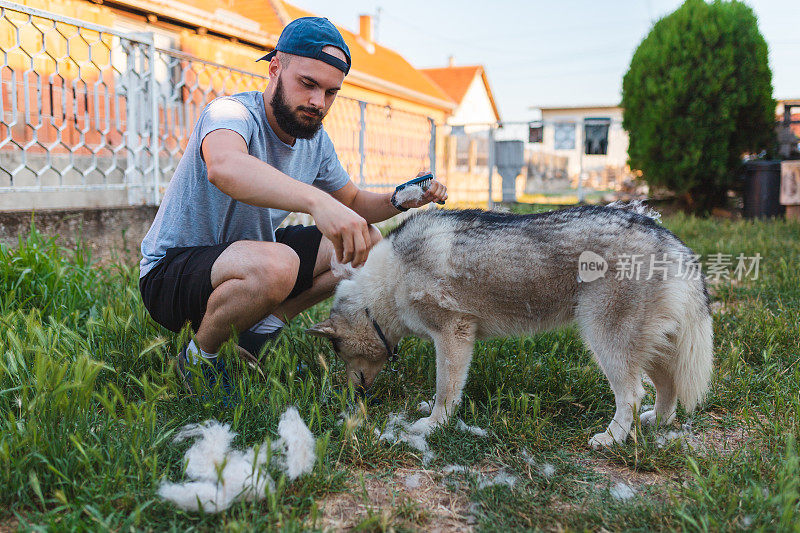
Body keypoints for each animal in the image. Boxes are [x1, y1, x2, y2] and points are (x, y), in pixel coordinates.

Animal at [308, 203, 712, 444]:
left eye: (338, 352)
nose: (353, 397)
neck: (384, 286)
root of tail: (662, 232)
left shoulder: (453, 335)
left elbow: (446, 389)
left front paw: (435, 425)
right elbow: (445, 391)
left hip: (606, 343)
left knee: (632, 394)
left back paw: (611, 439)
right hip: (645, 349)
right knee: (668, 387)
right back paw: (657, 423)